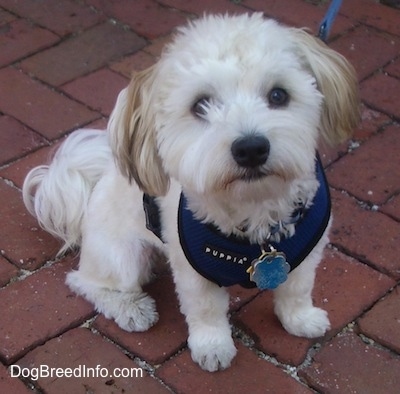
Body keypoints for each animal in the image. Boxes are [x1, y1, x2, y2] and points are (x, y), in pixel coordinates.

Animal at [22, 11, 360, 370]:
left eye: (279, 95)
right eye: (201, 105)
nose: (251, 148)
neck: (255, 215)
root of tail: (99, 178)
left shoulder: (308, 252)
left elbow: (296, 288)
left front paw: (299, 318)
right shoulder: (191, 270)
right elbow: (206, 310)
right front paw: (212, 346)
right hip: (121, 255)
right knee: (88, 283)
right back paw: (131, 309)